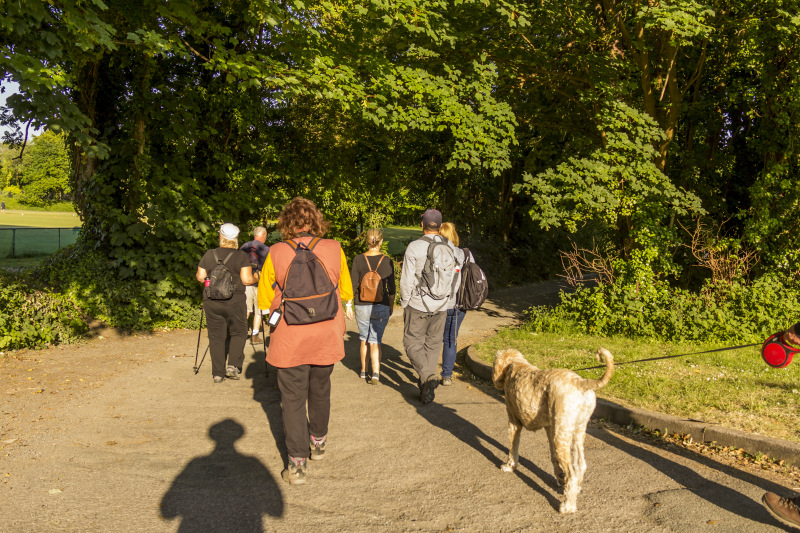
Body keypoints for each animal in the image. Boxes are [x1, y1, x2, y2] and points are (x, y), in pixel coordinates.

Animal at [494, 348, 612, 512]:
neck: (516, 364)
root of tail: (580, 382)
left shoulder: (514, 422)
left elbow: (513, 448)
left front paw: (509, 466)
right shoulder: (549, 428)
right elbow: (554, 458)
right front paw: (560, 480)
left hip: (561, 436)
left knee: (572, 474)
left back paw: (567, 506)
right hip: (574, 432)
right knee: (580, 466)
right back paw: (574, 490)